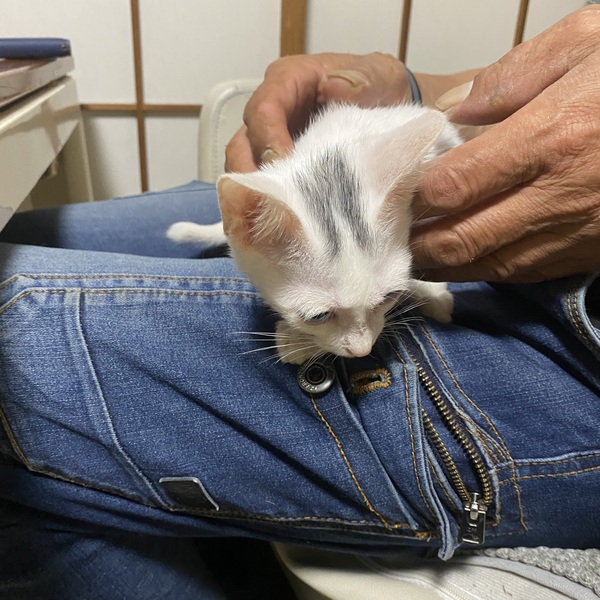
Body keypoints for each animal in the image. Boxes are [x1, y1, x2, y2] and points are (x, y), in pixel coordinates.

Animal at [167, 102, 459, 365]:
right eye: (318, 317)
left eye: (389, 297)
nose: (362, 350)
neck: (331, 147)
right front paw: (298, 342)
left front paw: (433, 293)